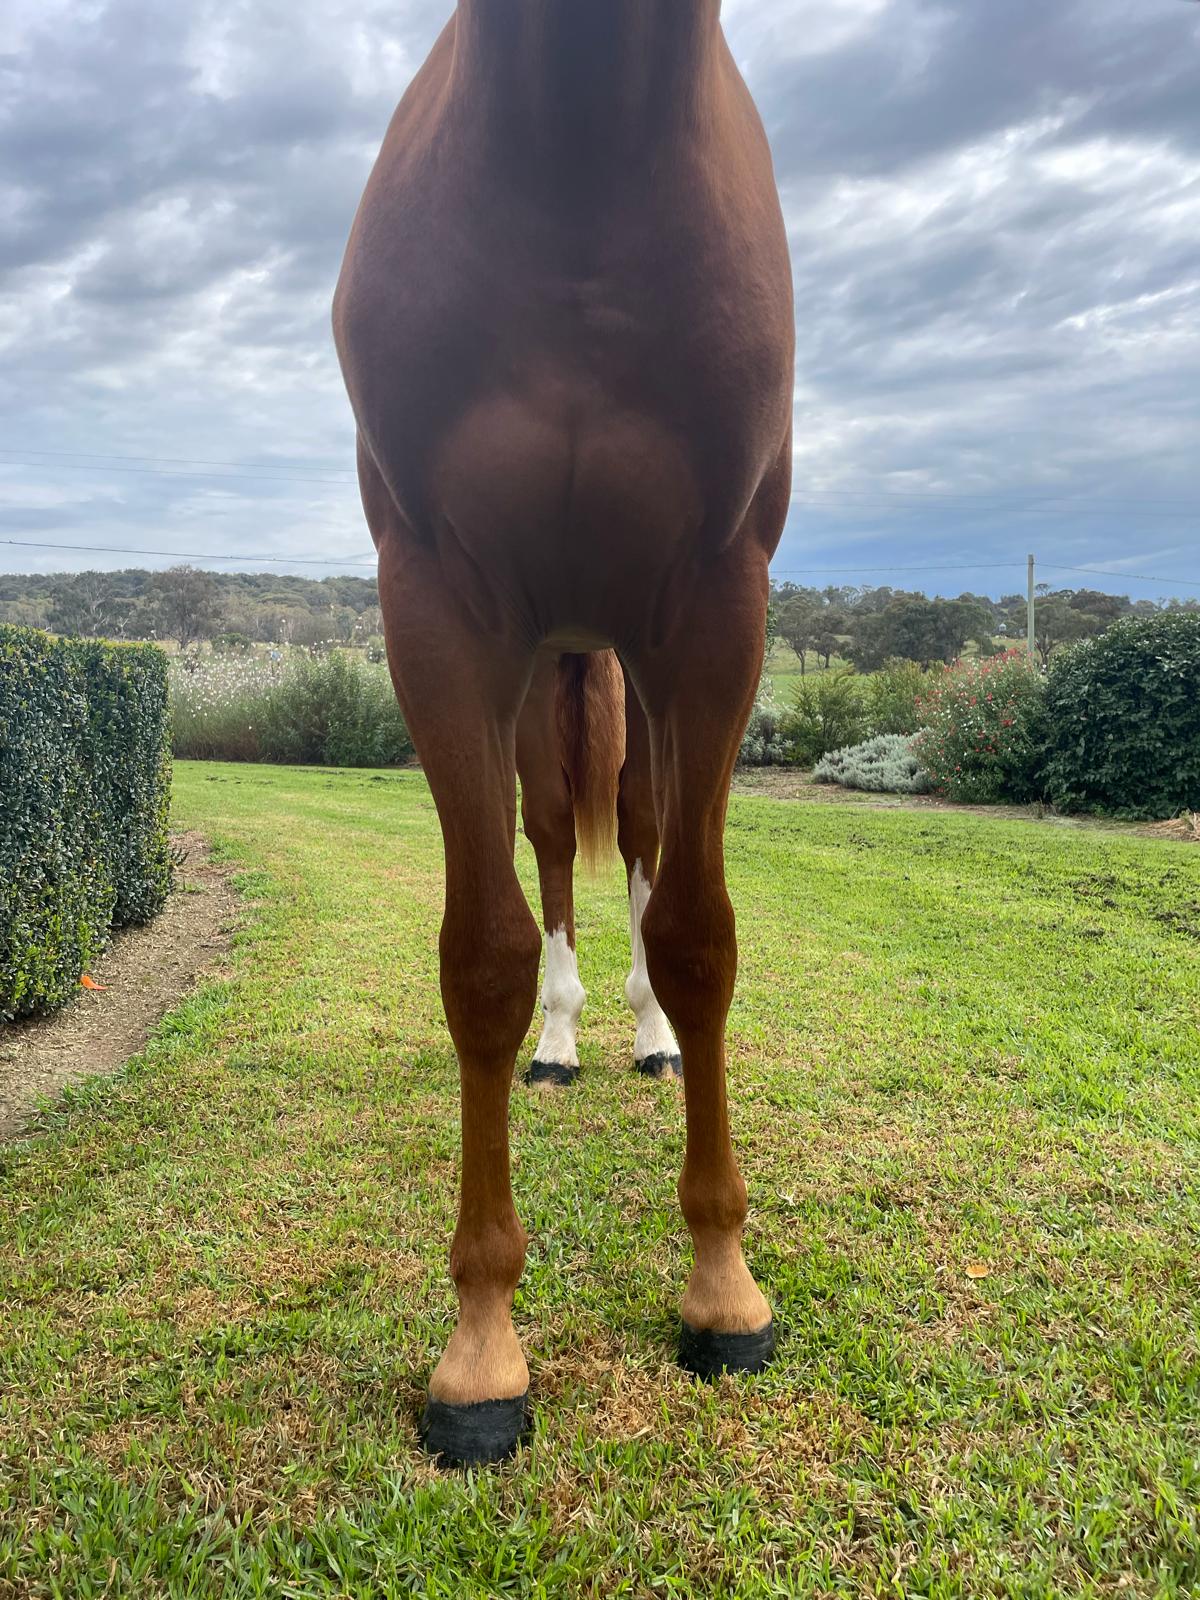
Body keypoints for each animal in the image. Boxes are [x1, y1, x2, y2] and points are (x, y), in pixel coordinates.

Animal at [334, 0, 795, 1466]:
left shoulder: (716, 609)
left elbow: (699, 938)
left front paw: (723, 1287)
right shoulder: (440, 611)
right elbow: (483, 957)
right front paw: (482, 1349)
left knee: (641, 842)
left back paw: (642, 1035)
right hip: (549, 669)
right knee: (550, 855)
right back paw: (564, 1039)